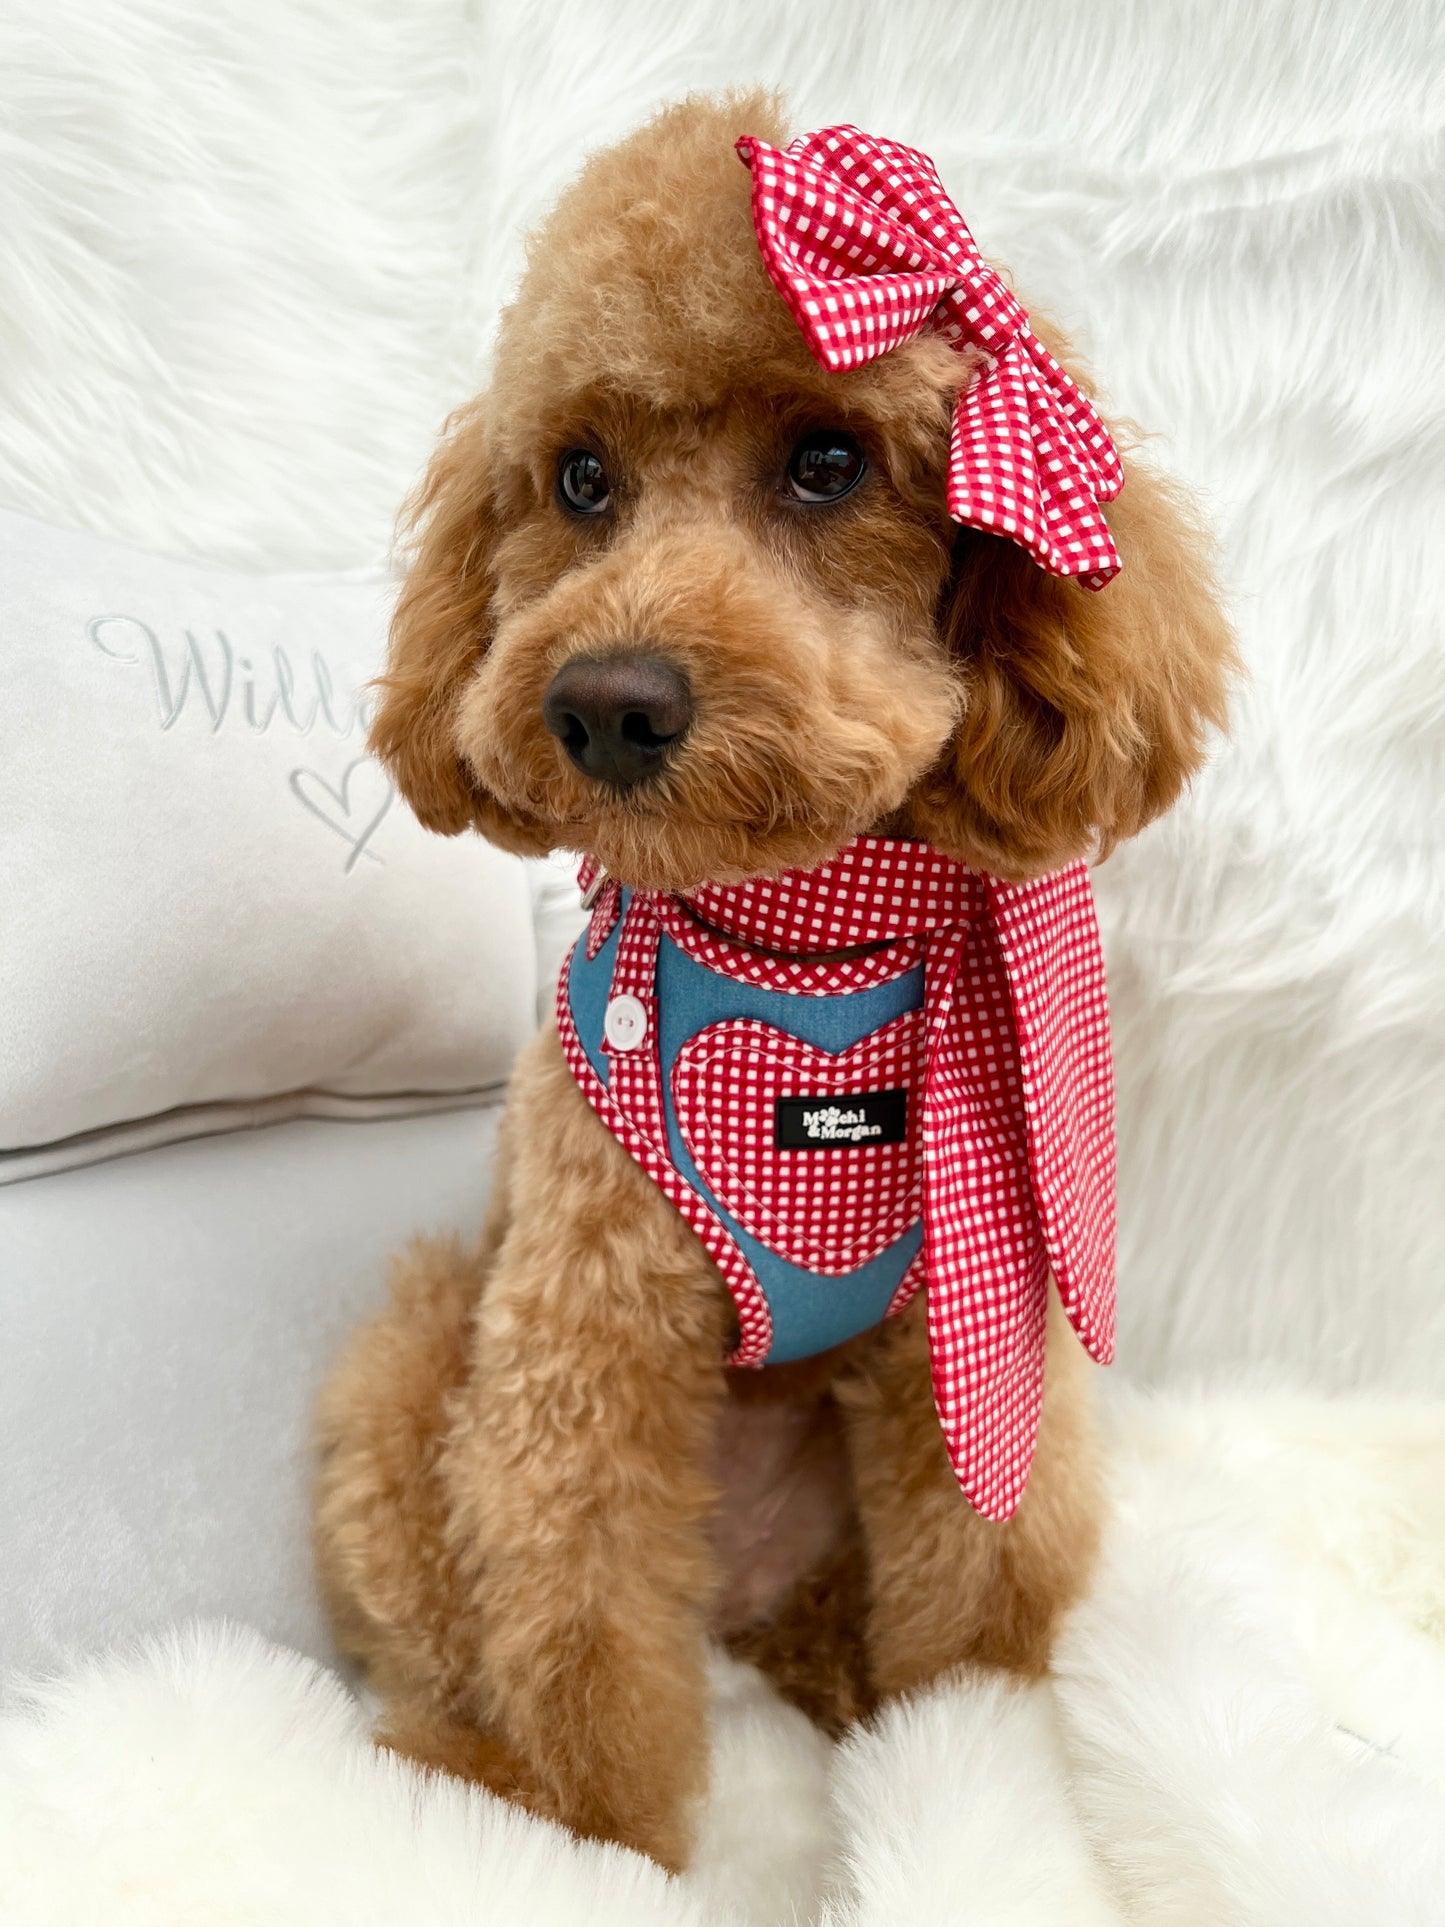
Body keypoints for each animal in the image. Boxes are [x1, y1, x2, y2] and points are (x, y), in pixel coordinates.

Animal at [312, 86, 1240, 1865]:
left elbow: (977, 1595)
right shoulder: (584, 1332)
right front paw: (593, 1846)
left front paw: (966, 1778)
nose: (606, 701)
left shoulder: (966, 1344)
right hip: (411, 1362)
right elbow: (577, 1611)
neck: (800, 941)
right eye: (579, 477)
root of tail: (737, 1599)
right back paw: (473, 1771)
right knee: (457, 1624)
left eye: (827, 462)